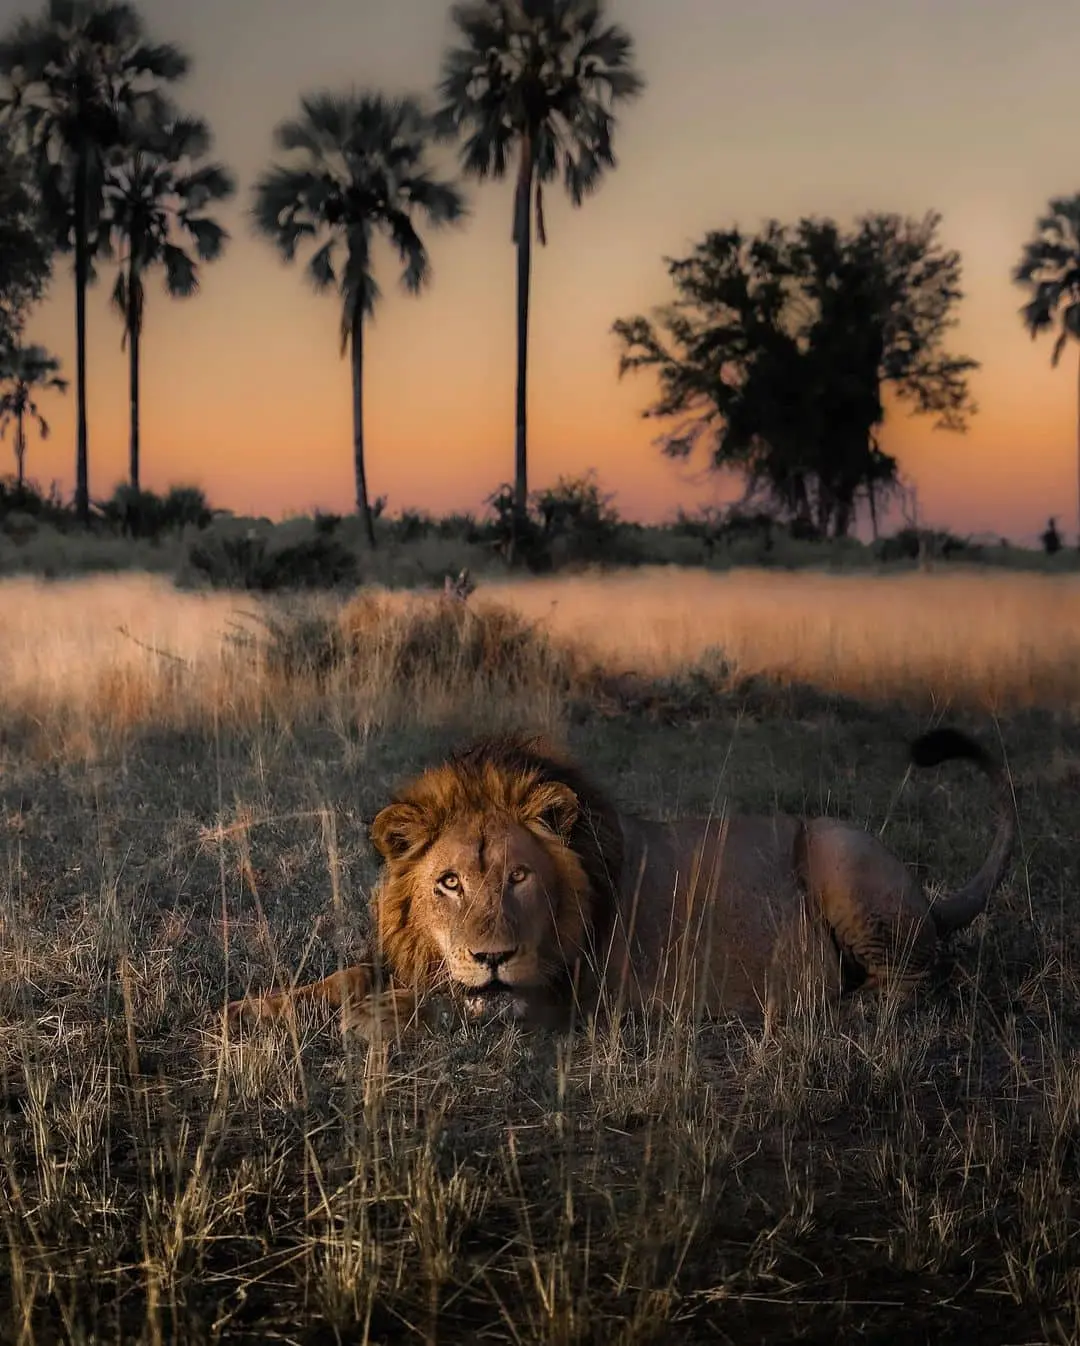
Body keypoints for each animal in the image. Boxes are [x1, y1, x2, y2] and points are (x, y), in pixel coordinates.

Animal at [226, 727, 1014, 1035]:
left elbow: (436, 1004)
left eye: (520, 876)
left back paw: (833, 1010)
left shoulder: (561, 997)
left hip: (838, 851)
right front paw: (250, 1011)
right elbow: (346, 978)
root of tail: (930, 902)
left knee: (918, 982)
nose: (491, 957)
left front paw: (376, 1016)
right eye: (448, 883)